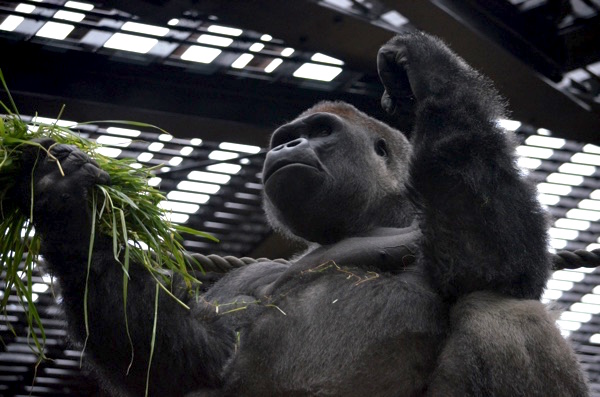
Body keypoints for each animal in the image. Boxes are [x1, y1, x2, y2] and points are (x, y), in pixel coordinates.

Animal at [15, 31, 592, 396]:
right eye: (285, 138)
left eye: (319, 133)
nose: (285, 150)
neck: (365, 218)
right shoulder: (250, 276)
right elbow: (192, 356)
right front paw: (71, 212)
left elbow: (493, 262)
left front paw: (432, 71)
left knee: (501, 307)